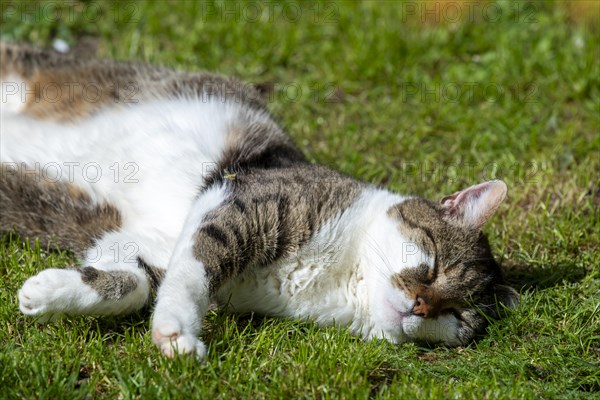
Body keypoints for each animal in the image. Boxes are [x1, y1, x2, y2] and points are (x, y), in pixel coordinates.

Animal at [0, 42, 516, 360]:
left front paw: (46, 292)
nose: (421, 306)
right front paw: (178, 332)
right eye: (434, 265)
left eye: (458, 314)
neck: (340, 277)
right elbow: (194, 273)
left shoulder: (142, 241)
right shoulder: (241, 204)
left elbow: (136, 283)